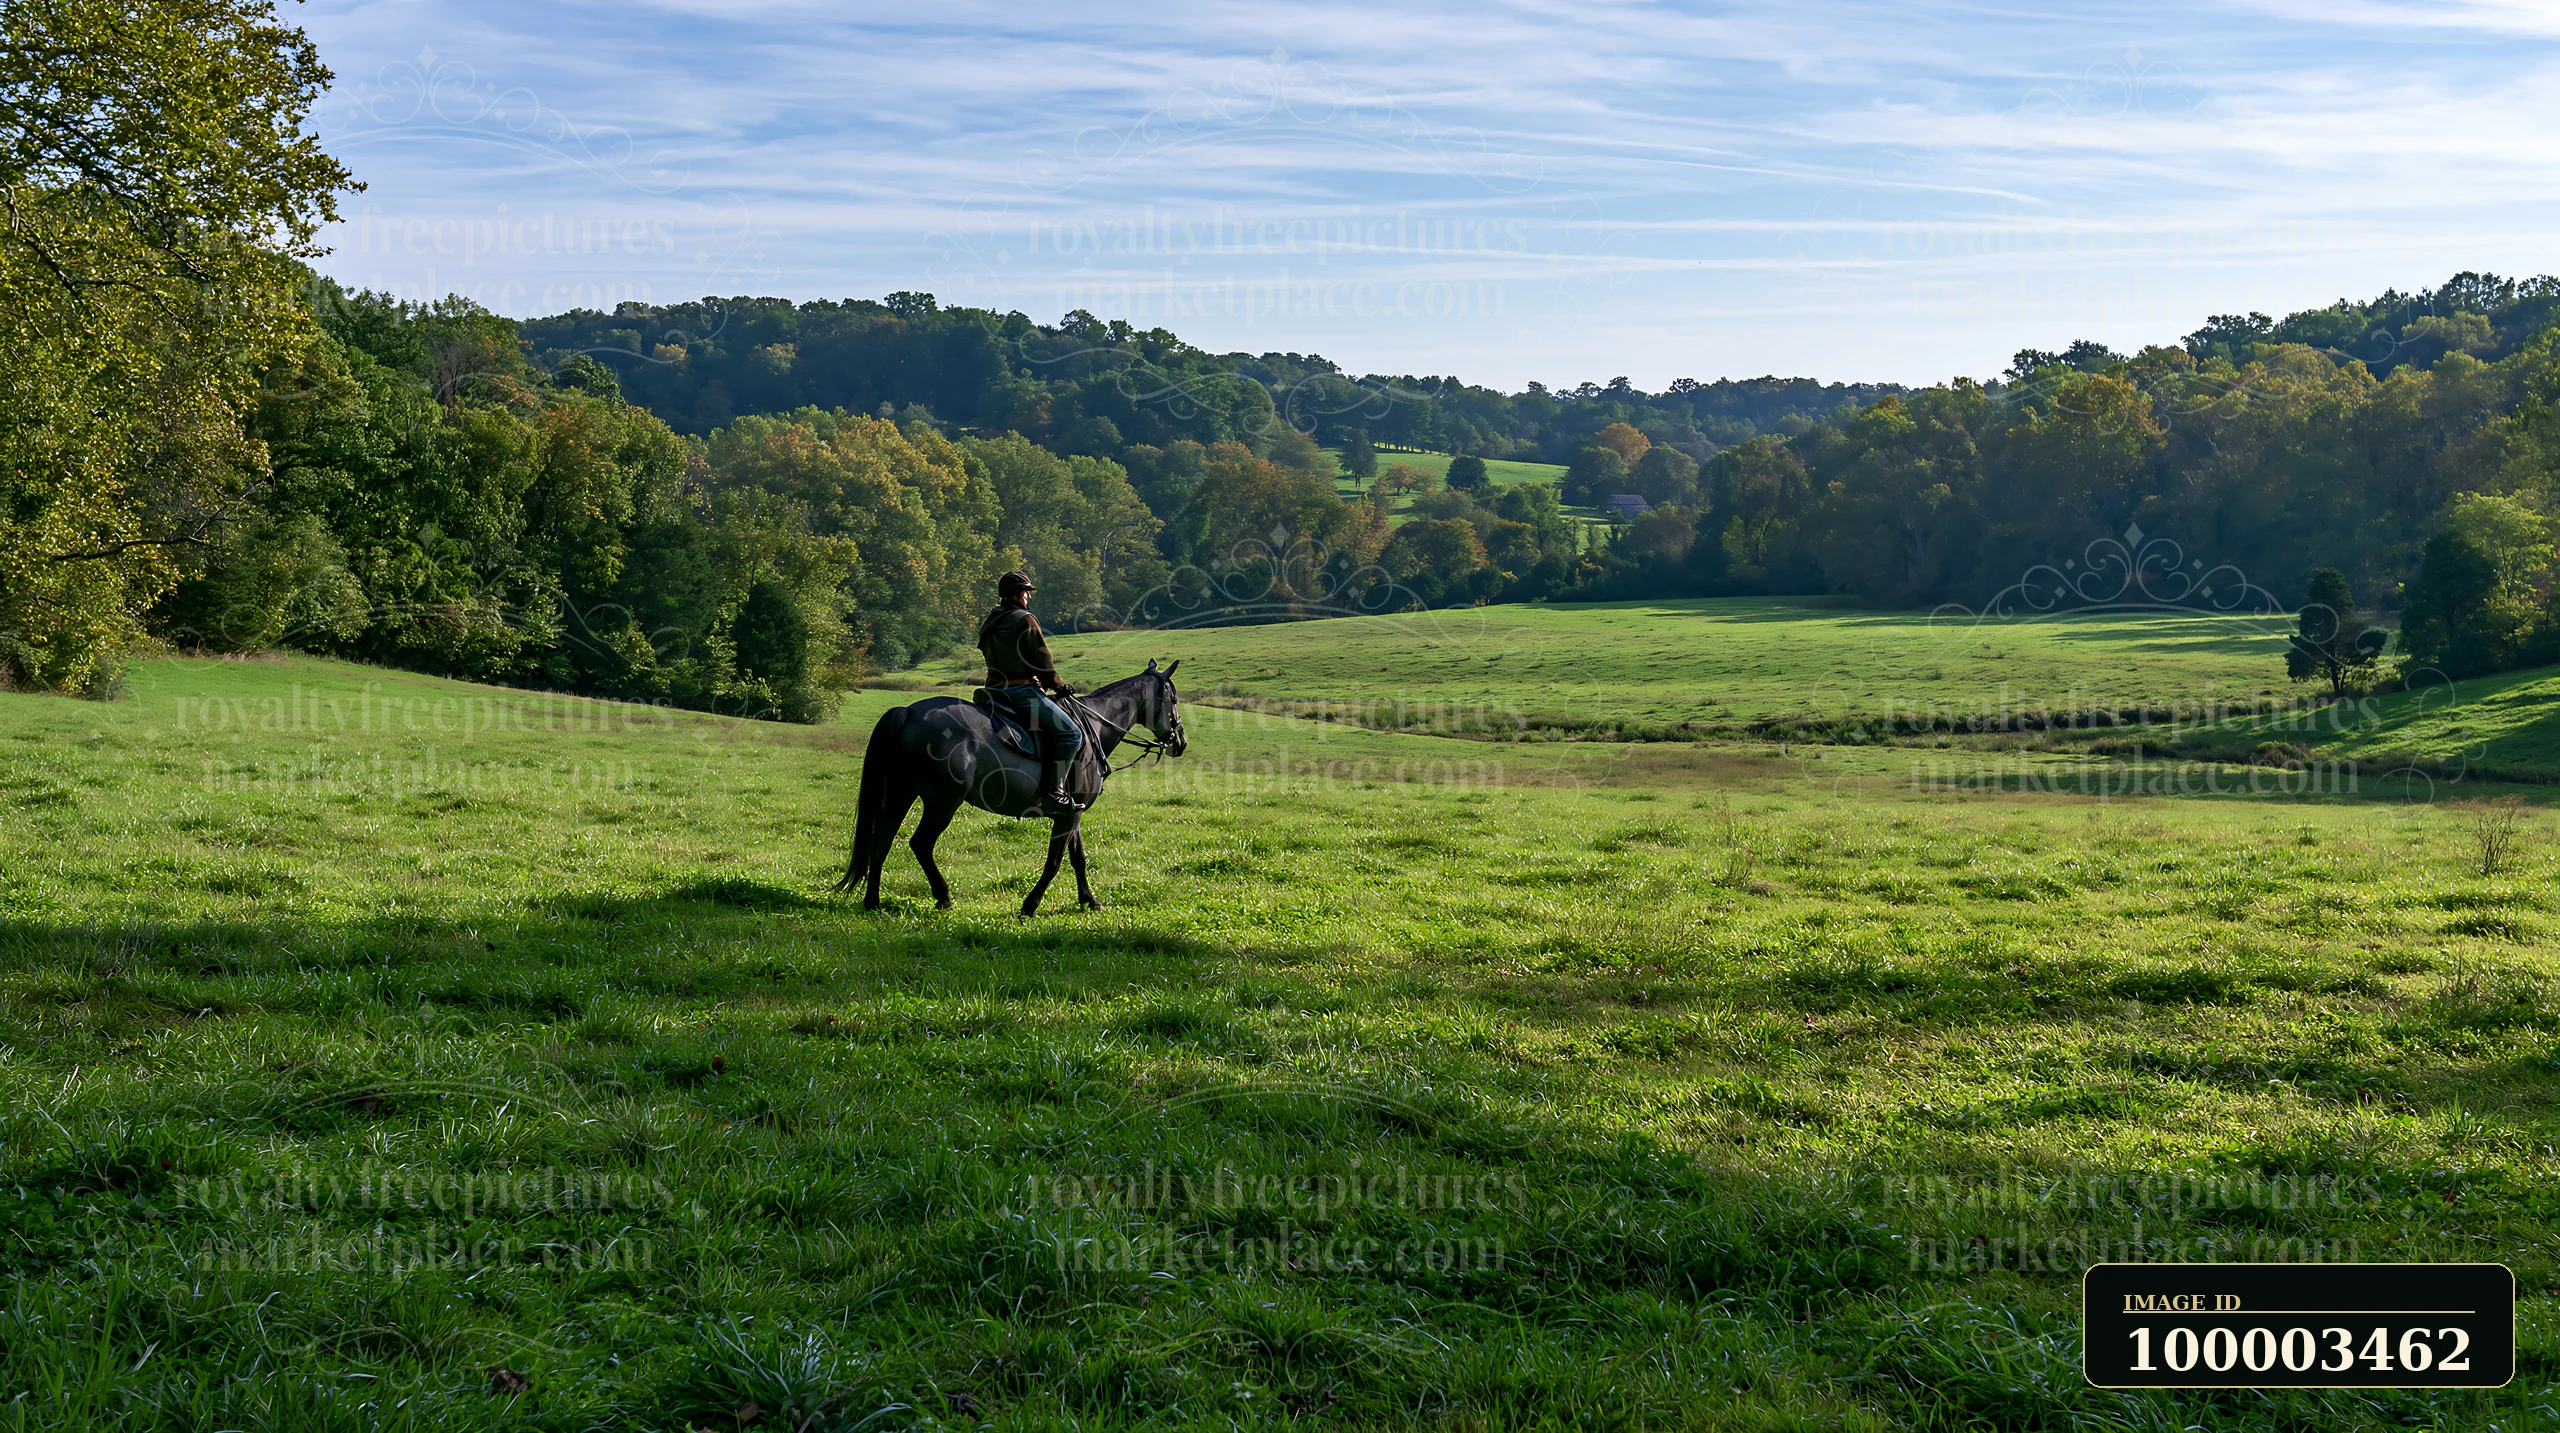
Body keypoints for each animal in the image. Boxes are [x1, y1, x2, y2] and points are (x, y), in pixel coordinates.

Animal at [833, 659, 1187, 915]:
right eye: (1173, 698)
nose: (1180, 742)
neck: (1094, 728)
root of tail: (908, 712)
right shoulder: (1068, 815)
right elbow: (1055, 862)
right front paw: (1030, 905)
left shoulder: (1073, 813)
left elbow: (1078, 859)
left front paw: (1089, 900)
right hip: (942, 801)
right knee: (920, 843)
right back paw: (942, 896)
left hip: (901, 793)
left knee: (882, 840)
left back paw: (873, 901)